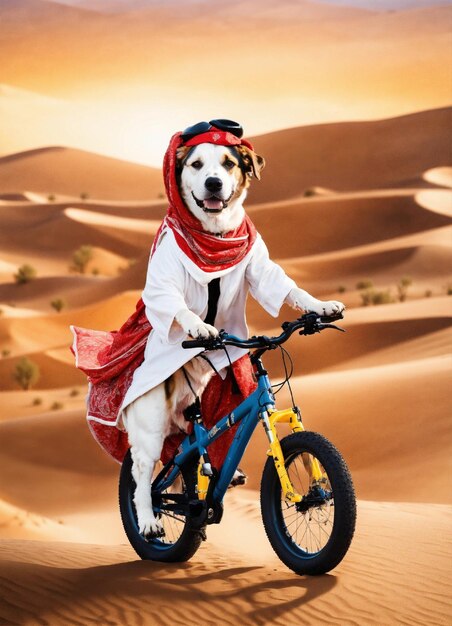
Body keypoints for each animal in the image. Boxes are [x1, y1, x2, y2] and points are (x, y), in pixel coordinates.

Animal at [122, 135, 344, 536]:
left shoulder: (258, 261)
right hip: (149, 419)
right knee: (145, 472)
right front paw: (198, 326)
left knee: (187, 451)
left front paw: (321, 307)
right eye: (196, 164)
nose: (213, 183)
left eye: (228, 163)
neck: (214, 234)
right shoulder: (164, 268)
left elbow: (283, 285)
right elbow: (168, 298)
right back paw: (149, 520)